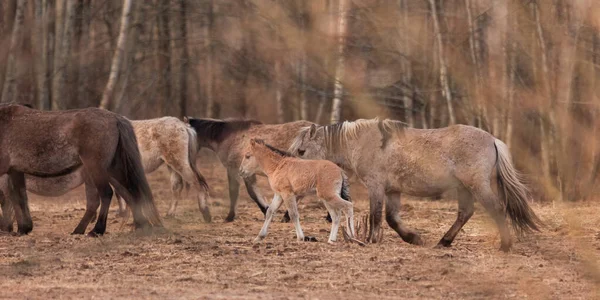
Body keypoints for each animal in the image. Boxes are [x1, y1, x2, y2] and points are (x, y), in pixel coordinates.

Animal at [0, 104, 162, 236]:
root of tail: (115, 118)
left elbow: (9, 200)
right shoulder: (15, 172)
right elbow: (19, 197)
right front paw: (23, 228)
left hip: (97, 169)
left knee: (106, 194)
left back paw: (96, 230)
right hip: (114, 170)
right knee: (130, 193)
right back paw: (142, 226)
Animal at [189, 117, 328, 223]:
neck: (229, 136)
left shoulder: (233, 169)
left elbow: (236, 192)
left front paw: (230, 217)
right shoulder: (247, 173)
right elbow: (253, 192)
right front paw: (266, 210)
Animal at [290, 117, 544, 251]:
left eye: (302, 150)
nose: (292, 172)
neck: (362, 142)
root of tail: (492, 140)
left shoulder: (376, 187)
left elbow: (375, 215)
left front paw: (371, 240)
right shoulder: (393, 191)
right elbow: (392, 219)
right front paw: (414, 238)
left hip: (477, 186)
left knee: (496, 209)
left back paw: (505, 245)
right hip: (464, 189)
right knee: (465, 213)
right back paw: (444, 241)